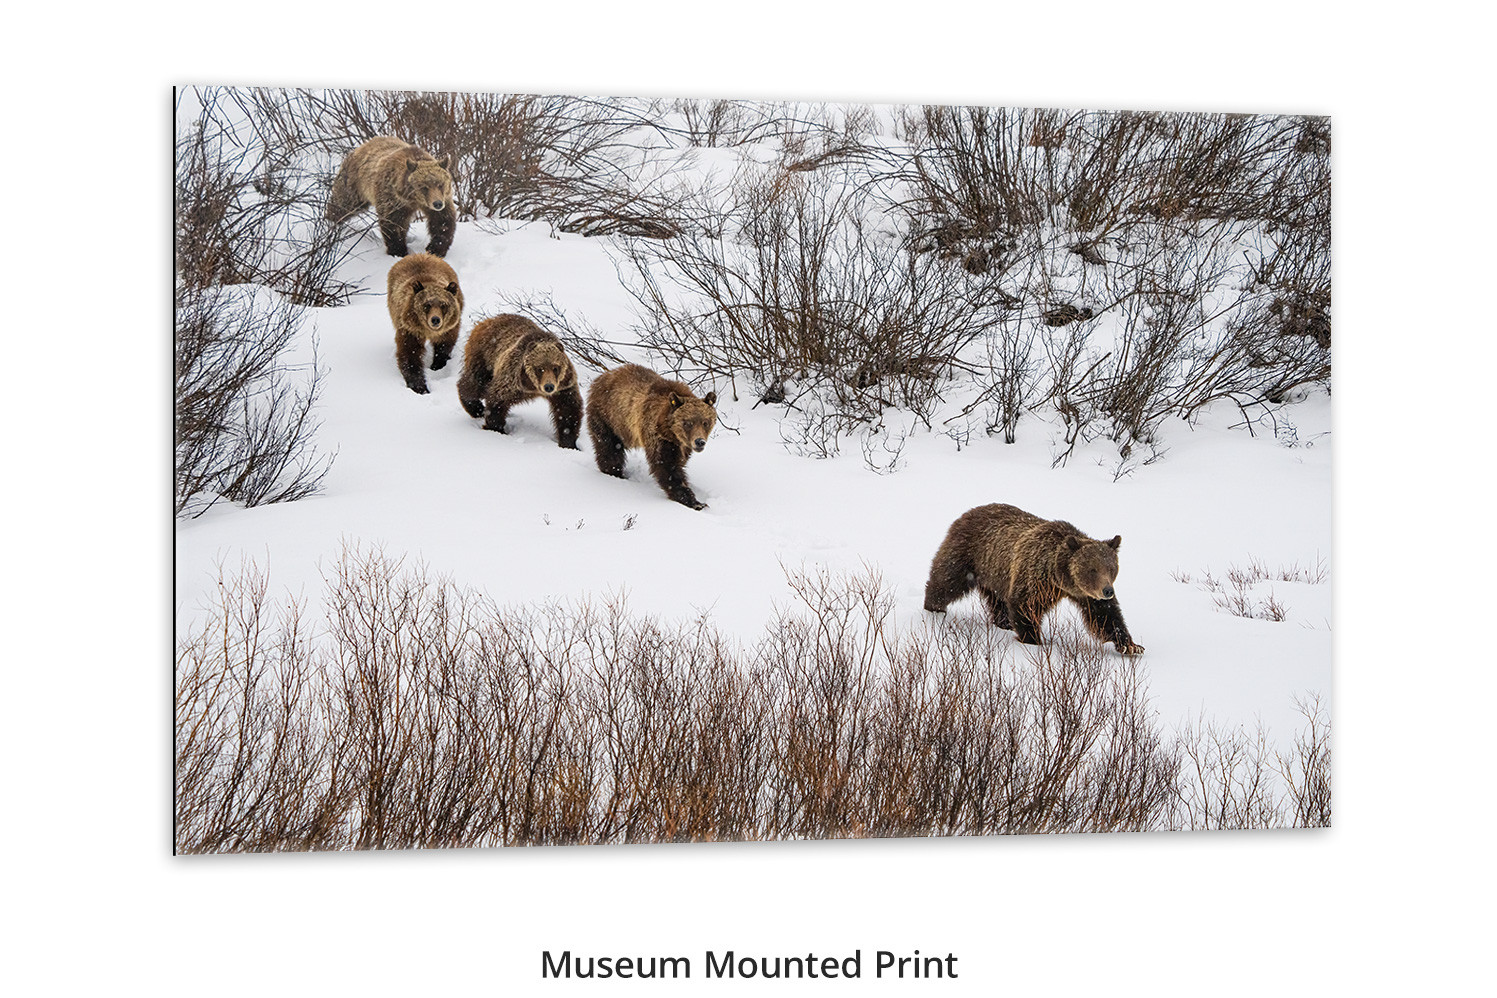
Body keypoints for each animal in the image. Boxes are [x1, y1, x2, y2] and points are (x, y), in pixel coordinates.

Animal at [326, 136, 457, 258]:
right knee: (343, 204)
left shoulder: (442, 199)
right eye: (424, 187)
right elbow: (393, 223)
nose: (437, 203)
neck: (413, 199)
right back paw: (331, 222)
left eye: (440, 184)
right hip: (354, 184)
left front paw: (436, 248)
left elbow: (442, 220)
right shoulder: (392, 198)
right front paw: (398, 250)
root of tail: (360, 147)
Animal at [386, 253, 463, 395]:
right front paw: (420, 387)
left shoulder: (449, 328)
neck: (427, 331)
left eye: (443, 304)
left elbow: (444, 345)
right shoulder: (410, 329)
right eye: (427, 305)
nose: (435, 319)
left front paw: (437, 365)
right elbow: (409, 354)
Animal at [456, 314, 583, 449]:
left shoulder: (564, 386)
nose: (549, 386)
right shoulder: (512, 378)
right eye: (540, 368)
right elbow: (497, 398)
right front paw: (496, 429)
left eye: (555, 368)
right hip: (484, 357)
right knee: (475, 384)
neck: (533, 387)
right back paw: (475, 408)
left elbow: (568, 409)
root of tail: (486, 321)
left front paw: (568, 442)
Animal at [585, 364, 718, 510]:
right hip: (608, 417)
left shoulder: (682, 445)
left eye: (705, 422)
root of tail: (601, 377)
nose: (700, 442)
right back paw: (614, 472)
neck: (671, 433)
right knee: (609, 448)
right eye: (688, 423)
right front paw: (694, 501)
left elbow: (679, 462)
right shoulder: (657, 435)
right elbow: (667, 467)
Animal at [923, 503, 1144, 654]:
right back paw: (934, 608)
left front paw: (1130, 645)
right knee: (947, 581)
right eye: (1092, 569)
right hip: (969, 554)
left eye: (1112, 568)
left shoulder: (1085, 594)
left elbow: (1105, 616)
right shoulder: (1036, 576)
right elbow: (1025, 604)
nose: (1108, 591)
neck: (1059, 576)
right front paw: (1034, 640)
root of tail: (967, 512)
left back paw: (1003, 622)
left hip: (997, 573)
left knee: (998, 600)